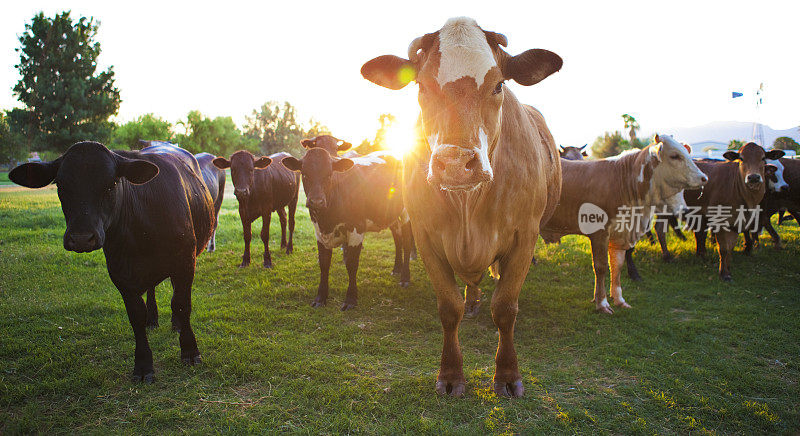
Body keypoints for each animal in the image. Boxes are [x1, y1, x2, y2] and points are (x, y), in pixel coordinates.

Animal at [8, 141, 216, 384]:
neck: (139, 230)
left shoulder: (184, 260)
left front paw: (190, 351)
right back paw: (152, 320)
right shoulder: (119, 272)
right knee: (152, 290)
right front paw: (143, 364)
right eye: (61, 185)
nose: (81, 238)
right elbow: (136, 315)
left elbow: (181, 304)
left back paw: (175, 324)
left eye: (111, 184)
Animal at [362, 17, 564, 398]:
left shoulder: (525, 236)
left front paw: (508, 374)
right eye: (421, 86)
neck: (469, 207)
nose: (456, 164)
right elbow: (448, 308)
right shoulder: (425, 236)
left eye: (498, 84)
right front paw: (451, 374)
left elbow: (505, 307)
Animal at [536, 134, 708, 314]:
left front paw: (619, 299)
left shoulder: (621, 234)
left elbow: (617, 266)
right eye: (675, 156)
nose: (704, 178)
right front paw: (602, 303)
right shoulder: (599, 233)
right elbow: (601, 266)